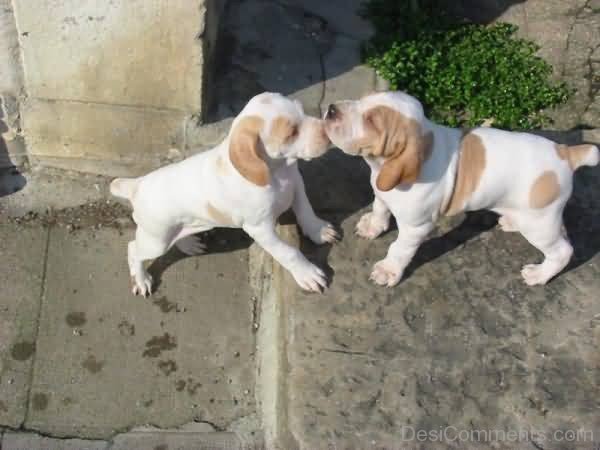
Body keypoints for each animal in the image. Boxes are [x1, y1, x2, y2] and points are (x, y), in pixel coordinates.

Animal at [111, 92, 338, 296]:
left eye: (302, 110)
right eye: (291, 133)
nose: (329, 132)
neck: (277, 172)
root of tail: (137, 185)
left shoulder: (296, 185)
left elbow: (305, 210)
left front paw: (318, 230)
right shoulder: (261, 229)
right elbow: (289, 252)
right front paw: (307, 274)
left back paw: (189, 244)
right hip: (156, 240)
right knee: (133, 250)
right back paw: (141, 279)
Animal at [326, 91, 596, 286]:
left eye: (371, 121)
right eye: (363, 99)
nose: (330, 109)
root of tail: (566, 153)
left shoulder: (416, 227)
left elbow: (399, 248)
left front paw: (388, 270)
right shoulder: (383, 193)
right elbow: (380, 207)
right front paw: (373, 226)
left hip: (539, 224)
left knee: (563, 250)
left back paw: (540, 275)